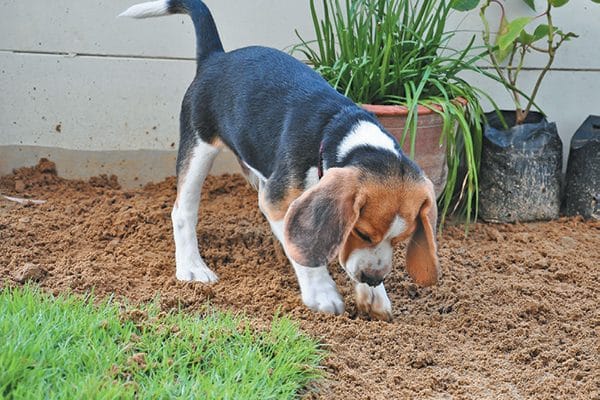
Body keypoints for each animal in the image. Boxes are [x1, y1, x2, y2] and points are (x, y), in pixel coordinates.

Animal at [123, 0, 440, 320]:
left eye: (400, 240)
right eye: (361, 233)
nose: (373, 279)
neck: (338, 130)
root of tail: (216, 57)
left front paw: (374, 297)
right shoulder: (277, 202)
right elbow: (306, 252)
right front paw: (323, 293)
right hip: (199, 144)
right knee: (183, 211)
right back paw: (192, 267)